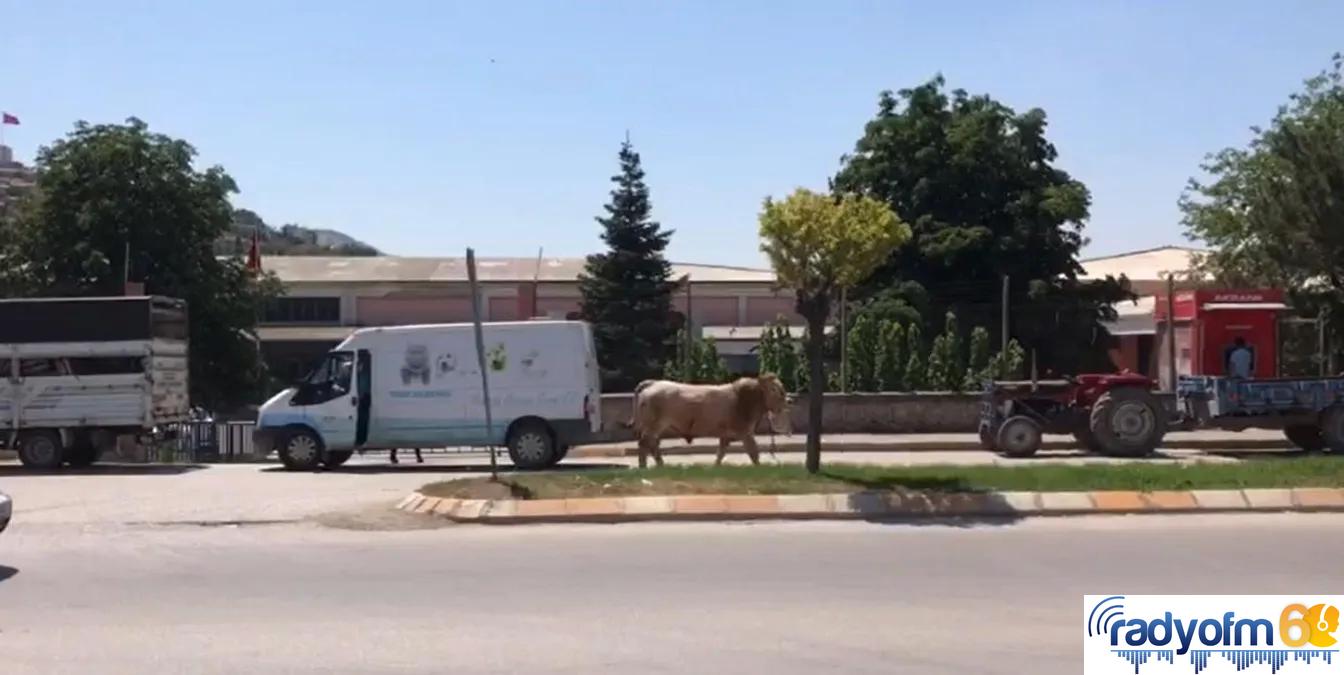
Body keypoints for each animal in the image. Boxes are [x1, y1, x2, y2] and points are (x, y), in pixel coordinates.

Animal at [623, 373, 790, 470]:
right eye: (777, 390)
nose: (789, 400)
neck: (746, 398)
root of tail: (654, 383)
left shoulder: (726, 436)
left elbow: (720, 453)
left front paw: (715, 467)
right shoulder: (746, 433)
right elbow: (754, 452)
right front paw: (759, 468)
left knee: (652, 445)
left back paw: (660, 465)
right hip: (654, 425)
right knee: (645, 444)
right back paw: (644, 467)